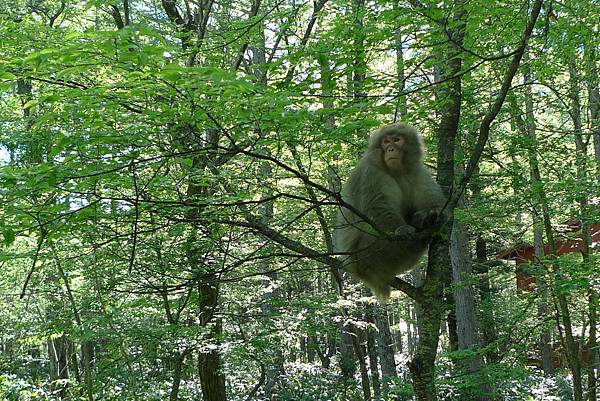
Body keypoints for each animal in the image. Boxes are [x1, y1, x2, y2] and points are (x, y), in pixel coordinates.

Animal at [332, 122, 446, 300]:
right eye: (386, 142)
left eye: (397, 140)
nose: (391, 149)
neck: (396, 171)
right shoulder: (370, 172)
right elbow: (379, 206)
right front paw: (403, 229)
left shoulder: (418, 170)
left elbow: (437, 203)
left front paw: (432, 214)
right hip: (367, 257)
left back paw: (424, 222)